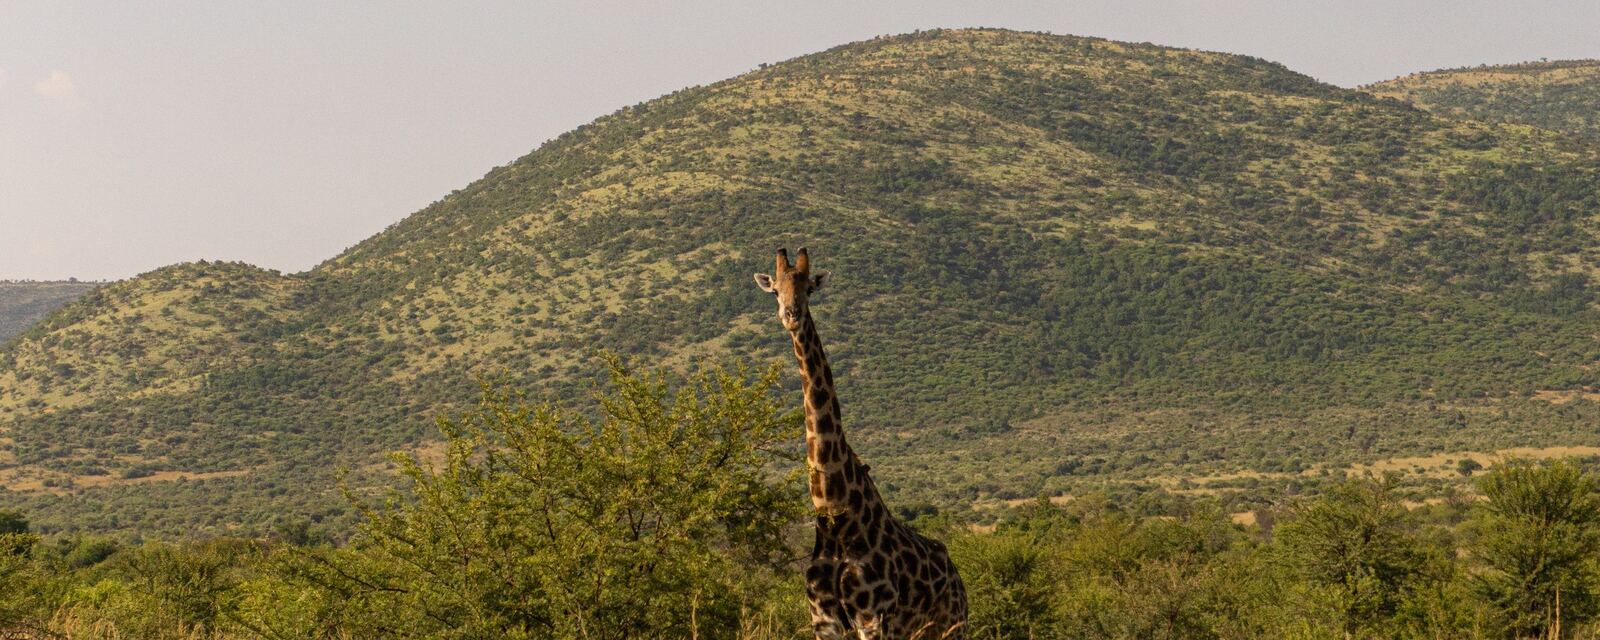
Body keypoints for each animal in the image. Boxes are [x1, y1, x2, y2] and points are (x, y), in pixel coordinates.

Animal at [754, 248, 967, 640]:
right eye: (775, 290)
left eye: (808, 288)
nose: (791, 315)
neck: (834, 513)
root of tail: (958, 577)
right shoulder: (824, 621)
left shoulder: (873, 617)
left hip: (952, 626)